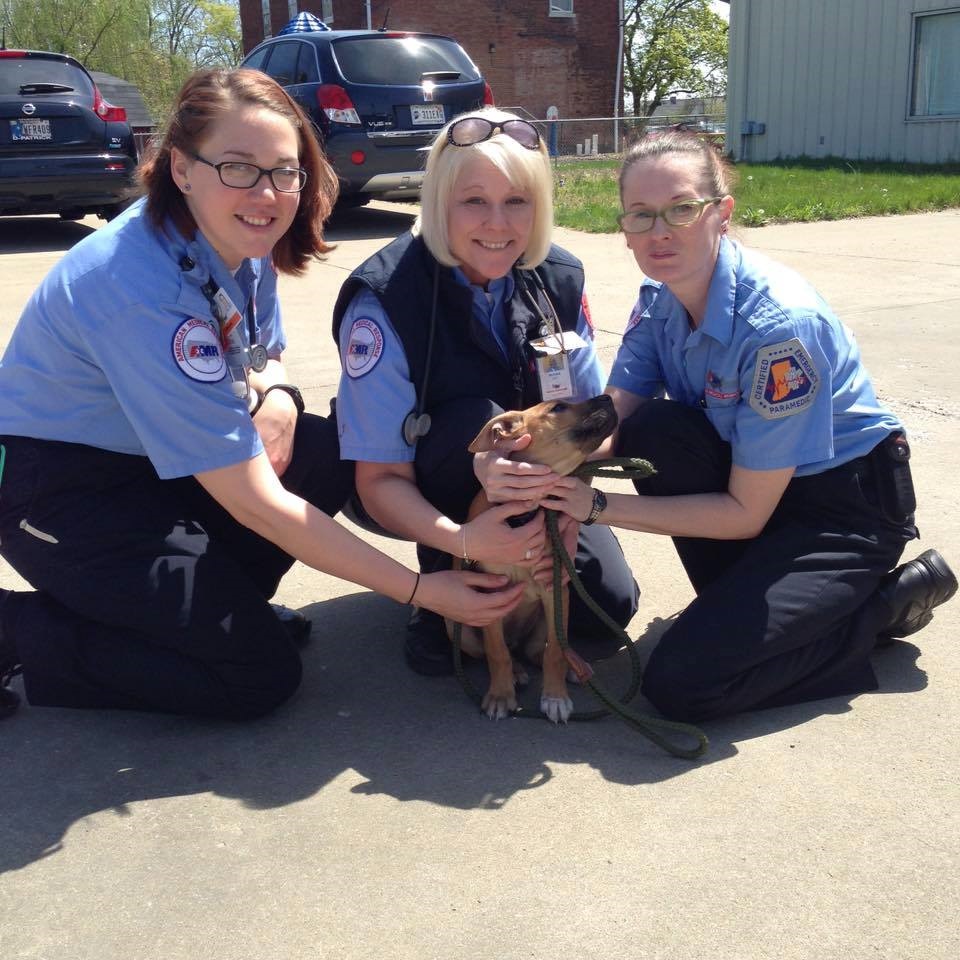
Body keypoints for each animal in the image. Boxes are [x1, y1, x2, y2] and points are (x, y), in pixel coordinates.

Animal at [454, 396, 620, 720]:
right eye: (558, 408)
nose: (607, 397)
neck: (527, 511)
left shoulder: (554, 588)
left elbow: (554, 651)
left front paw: (555, 697)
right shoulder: (490, 596)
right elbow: (497, 652)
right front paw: (500, 695)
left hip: (552, 613)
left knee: (541, 650)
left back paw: (572, 666)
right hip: (464, 631)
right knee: (504, 651)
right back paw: (516, 673)